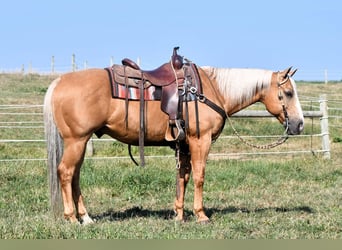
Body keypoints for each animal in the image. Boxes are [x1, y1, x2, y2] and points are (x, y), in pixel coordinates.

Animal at [44, 61, 304, 225]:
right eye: (288, 93)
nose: (299, 125)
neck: (210, 90)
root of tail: (59, 81)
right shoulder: (201, 141)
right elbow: (199, 176)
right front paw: (201, 215)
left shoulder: (185, 145)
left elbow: (183, 177)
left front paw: (179, 214)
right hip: (76, 140)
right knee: (66, 172)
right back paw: (72, 217)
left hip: (80, 142)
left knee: (75, 176)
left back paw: (86, 217)